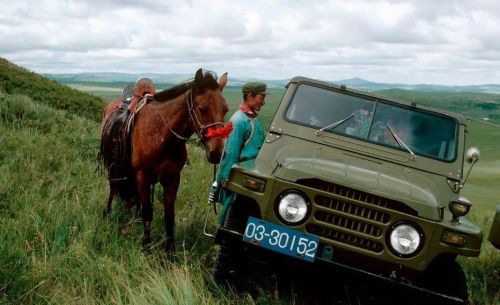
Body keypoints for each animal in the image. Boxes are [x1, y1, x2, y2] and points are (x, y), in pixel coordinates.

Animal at [100, 70, 229, 251]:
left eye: (225, 110)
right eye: (202, 109)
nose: (217, 153)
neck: (162, 135)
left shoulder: (172, 178)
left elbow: (169, 215)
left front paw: (170, 250)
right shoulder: (142, 176)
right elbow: (147, 211)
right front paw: (146, 246)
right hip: (113, 166)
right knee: (113, 188)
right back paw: (108, 213)